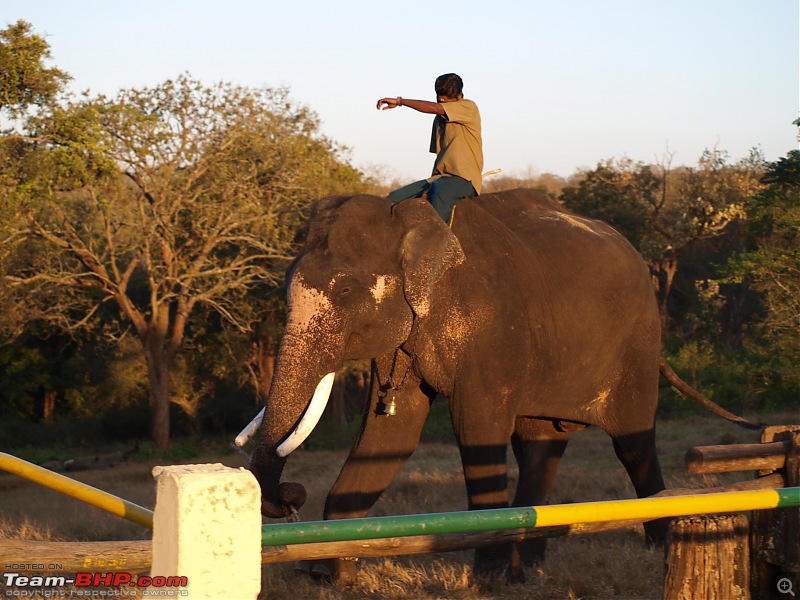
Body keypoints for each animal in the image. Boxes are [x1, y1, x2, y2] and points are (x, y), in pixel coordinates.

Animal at [250, 189, 756, 584]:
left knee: (632, 442)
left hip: (637, 343)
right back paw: (527, 568)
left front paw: (486, 578)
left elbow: (476, 427)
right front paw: (325, 574)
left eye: (346, 292)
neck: (412, 219)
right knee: (539, 444)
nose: (292, 495)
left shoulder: (493, 324)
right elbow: (390, 432)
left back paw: (655, 545)